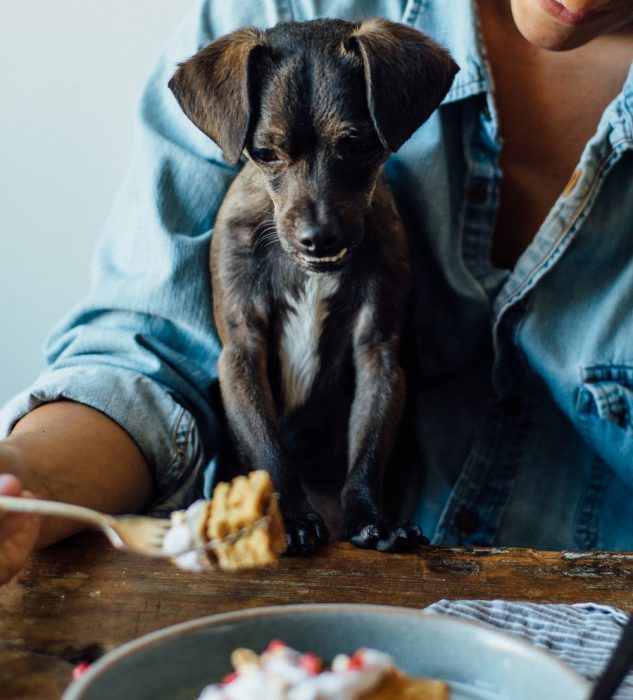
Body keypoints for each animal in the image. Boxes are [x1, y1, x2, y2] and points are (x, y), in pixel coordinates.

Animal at [167, 15, 454, 552]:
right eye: (264, 153)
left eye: (359, 146)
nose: (318, 238)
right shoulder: (242, 350)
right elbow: (268, 450)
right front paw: (293, 519)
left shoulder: (377, 352)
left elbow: (367, 447)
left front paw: (371, 519)